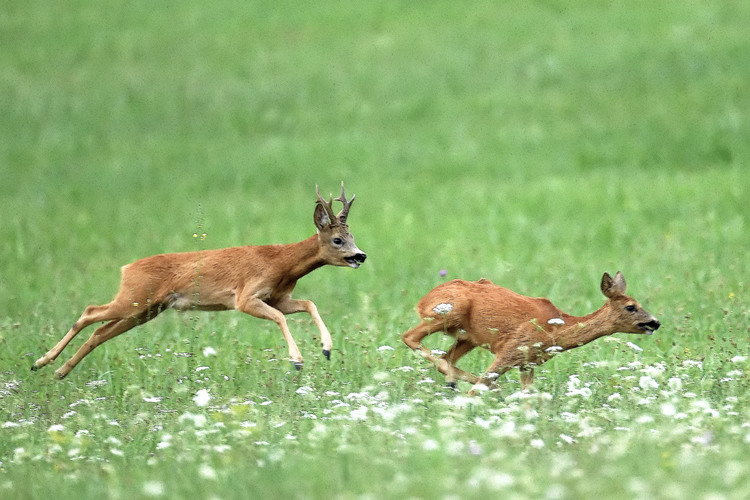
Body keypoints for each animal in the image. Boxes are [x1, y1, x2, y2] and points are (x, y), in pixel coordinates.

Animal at [32, 185, 368, 378]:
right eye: (338, 240)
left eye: (351, 236)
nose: (360, 255)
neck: (281, 263)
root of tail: (127, 268)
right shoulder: (245, 297)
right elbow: (278, 318)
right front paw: (297, 360)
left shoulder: (278, 297)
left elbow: (309, 304)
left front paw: (326, 348)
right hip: (134, 298)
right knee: (90, 312)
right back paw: (41, 362)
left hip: (145, 309)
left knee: (100, 331)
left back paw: (59, 372)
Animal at [402, 274, 660, 394]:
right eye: (631, 307)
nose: (655, 322)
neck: (557, 328)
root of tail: (422, 300)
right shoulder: (512, 350)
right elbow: (478, 389)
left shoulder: (527, 363)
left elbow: (529, 398)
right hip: (448, 313)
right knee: (409, 337)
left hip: (468, 337)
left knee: (446, 357)